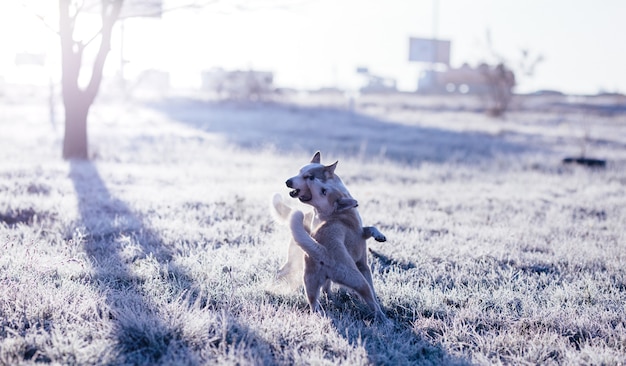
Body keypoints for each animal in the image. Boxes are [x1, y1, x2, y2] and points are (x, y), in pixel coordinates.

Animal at [288, 179, 386, 322]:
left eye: (324, 190)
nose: (311, 178)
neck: (336, 214)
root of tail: (322, 250)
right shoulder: (363, 262)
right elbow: (370, 228)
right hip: (358, 279)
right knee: (372, 302)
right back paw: (384, 319)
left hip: (310, 283)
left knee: (314, 304)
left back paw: (319, 314)